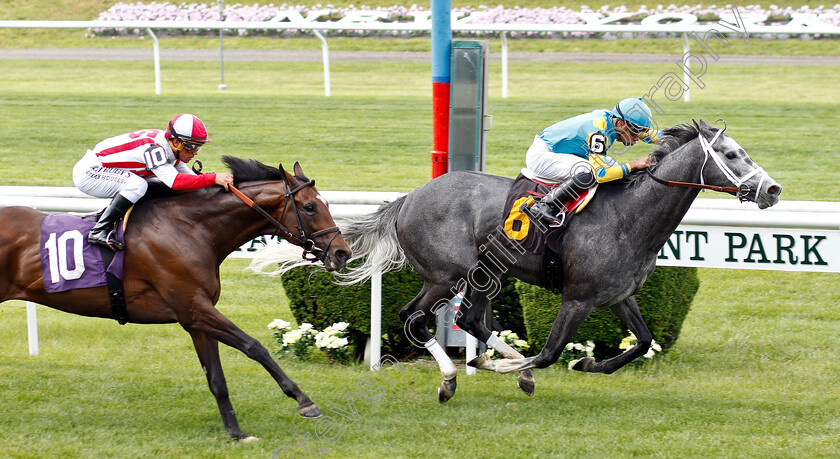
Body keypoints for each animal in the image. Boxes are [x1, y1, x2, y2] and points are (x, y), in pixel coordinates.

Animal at [0, 158, 352, 442]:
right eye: (309, 207)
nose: (342, 252)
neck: (191, 228)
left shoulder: (196, 318)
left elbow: (217, 378)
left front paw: (235, 433)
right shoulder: (193, 307)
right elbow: (255, 347)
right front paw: (304, 401)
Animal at [258, 121, 780, 402]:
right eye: (732, 154)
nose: (773, 189)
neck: (629, 216)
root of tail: (408, 200)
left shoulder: (617, 295)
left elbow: (642, 342)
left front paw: (588, 364)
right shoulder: (577, 298)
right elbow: (548, 353)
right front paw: (513, 366)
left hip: (473, 276)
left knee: (457, 319)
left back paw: (473, 371)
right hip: (451, 273)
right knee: (427, 318)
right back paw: (467, 373)